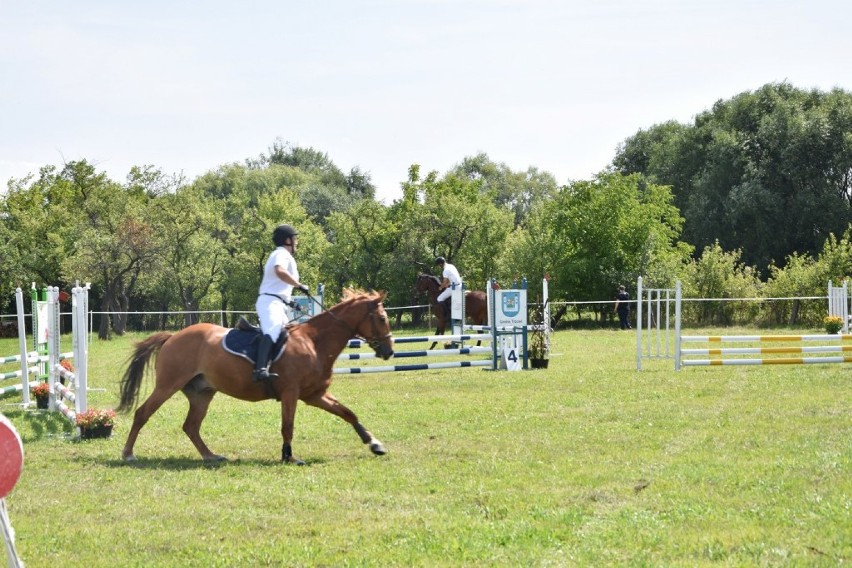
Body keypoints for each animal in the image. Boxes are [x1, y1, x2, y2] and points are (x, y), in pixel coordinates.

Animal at [117, 290, 396, 464]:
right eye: (382, 318)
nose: (389, 351)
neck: (315, 342)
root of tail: (173, 336)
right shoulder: (291, 393)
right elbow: (288, 425)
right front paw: (289, 457)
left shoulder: (315, 395)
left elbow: (348, 413)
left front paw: (374, 443)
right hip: (168, 385)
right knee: (143, 414)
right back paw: (128, 453)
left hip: (202, 392)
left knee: (191, 426)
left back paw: (211, 456)